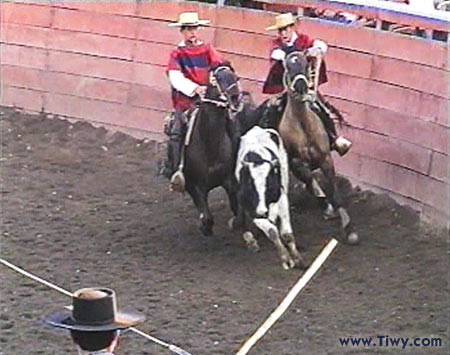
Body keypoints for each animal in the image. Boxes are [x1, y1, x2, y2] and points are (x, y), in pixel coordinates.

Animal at [180, 64, 241, 236]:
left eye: (234, 77)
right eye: (217, 79)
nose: (235, 97)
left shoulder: (229, 179)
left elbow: (236, 210)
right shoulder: (194, 185)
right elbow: (206, 217)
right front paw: (205, 227)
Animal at [232, 126, 306, 272]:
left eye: (270, 185)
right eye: (250, 186)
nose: (263, 212)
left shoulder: (281, 197)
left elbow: (287, 235)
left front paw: (297, 258)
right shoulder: (251, 208)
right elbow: (272, 232)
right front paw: (285, 258)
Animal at [278, 51, 358, 246]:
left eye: (306, 64)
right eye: (288, 67)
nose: (301, 87)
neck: (303, 124)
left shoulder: (326, 159)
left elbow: (335, 193)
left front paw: (349, 229)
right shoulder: (296, 162)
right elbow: (307, 176)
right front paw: (324, 202)